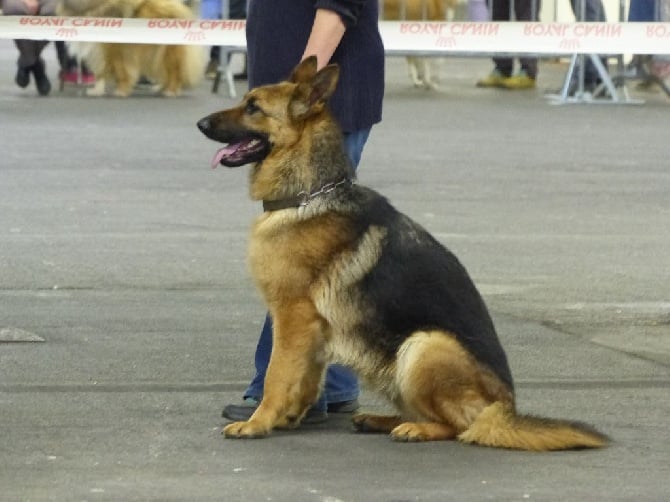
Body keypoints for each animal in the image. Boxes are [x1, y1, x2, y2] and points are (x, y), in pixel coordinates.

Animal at [56, 0, 205, 96]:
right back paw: (160, 88)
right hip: (154, 56)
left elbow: (120, 71)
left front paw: (121, 90)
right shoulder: (97, 51)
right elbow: (100, 73)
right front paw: (96, 91)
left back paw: (171, 91)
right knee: (165, 72)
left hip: (166, 53)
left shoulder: (112, 50)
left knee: (175, 72)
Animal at [197, 58, 612, 452]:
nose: (200, 122)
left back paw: (414, 429)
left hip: (424, 345)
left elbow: (276, 374)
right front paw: (288, 417)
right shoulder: (311, 330)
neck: (309, 196)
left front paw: (258, 422)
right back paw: (381, 420)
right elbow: (305, 380)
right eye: (245, 100)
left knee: (462, 427)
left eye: (253, 107)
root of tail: (504, 409)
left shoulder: (292, 316)